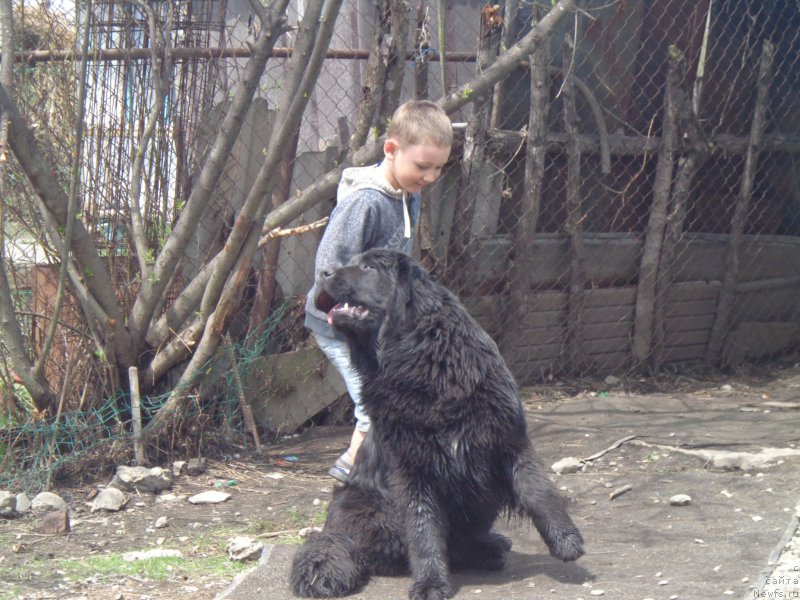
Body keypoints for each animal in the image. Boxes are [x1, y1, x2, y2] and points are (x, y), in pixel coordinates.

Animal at [290, 248, 584, 600]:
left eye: (368, 267)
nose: (324, 272)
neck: (424, 366)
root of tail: (334, 530)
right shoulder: (414, 469)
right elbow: (423, 530)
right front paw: (430, 583)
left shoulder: (508, 441)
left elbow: (539, 491)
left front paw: (566, 539)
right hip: (369, 508)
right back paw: (485, 551)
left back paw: (490, 545)